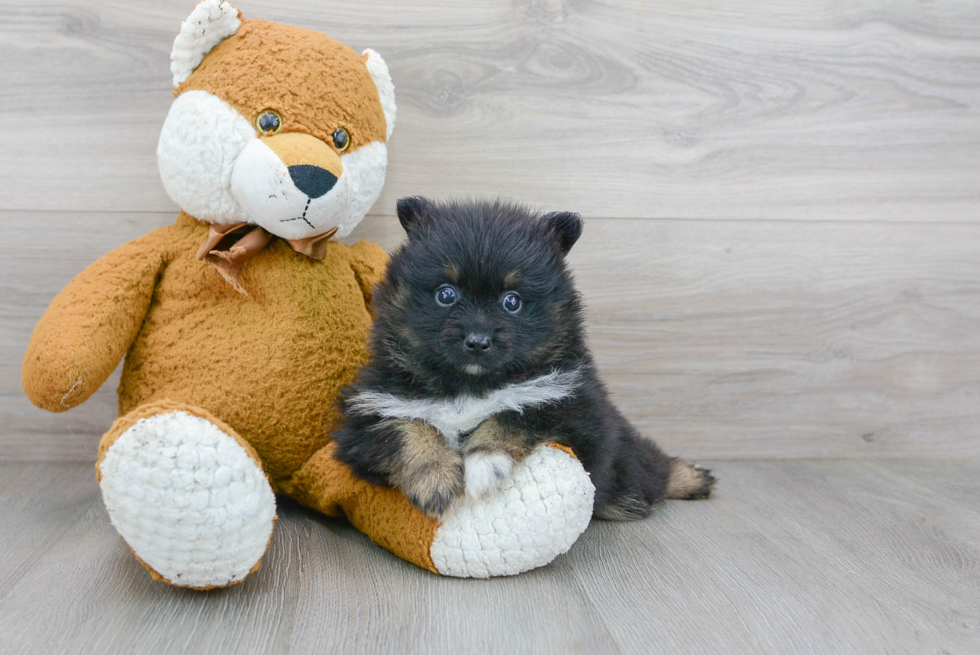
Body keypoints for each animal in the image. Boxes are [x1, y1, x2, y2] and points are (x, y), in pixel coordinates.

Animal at [334, 197, 716, 520]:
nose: (478, 341)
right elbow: (407, 427)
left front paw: (484, 461)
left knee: (649, 469)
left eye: (512, 301)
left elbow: (516, 412)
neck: (469, 385)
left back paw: (692, 478)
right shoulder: (366, 418)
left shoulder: (577, 410)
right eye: (446, 294)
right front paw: (436, 479)